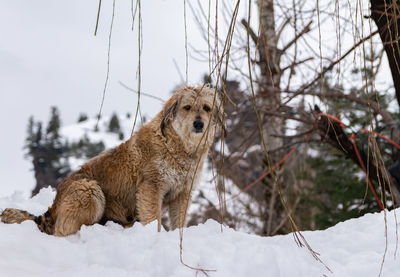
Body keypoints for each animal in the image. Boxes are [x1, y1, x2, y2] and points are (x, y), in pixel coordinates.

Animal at [0, 85, 225, 235]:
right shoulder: (151, 187)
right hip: (89, 189)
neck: (178, 146)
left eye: (206, 108)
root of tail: (50, 213)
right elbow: (154, 218)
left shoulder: (183, 193)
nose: (198, 124)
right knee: (63, 231)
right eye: (187, 107)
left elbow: (179, 222)